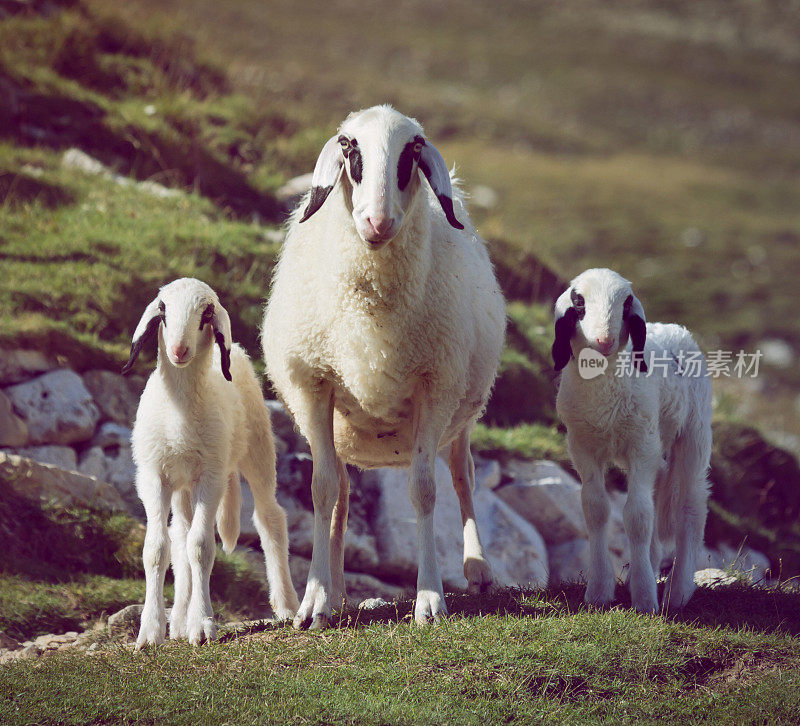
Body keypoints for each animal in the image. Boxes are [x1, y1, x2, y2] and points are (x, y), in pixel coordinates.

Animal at [123, 278, 298, 648]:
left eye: (206, 314)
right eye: (162, 310)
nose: (177, 350)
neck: (179, 410)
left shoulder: (211, 476)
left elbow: (202, 547)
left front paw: (202, 625)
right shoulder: (153, 476)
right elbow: (156, 549)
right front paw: (150, 633)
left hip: (257, 451)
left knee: (270, 518)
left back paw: (287, 605)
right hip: (182, 486)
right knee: (180, 536)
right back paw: (178, 620)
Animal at [264, 105, 506, 628]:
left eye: (412, 150)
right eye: (349, 146)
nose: (376, 221)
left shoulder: (435, 387)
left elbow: (425, 489)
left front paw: (430, 598)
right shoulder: (313, 386)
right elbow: (322, 489)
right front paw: (314, 600)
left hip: (463, 409)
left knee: (463, 476)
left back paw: (478, 569)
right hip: (339, 425)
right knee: (342, 492)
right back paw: (335, 593)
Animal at [552, 268, 712, 616]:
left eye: (626, 304)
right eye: (579, 302)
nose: (604, 341)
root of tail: (674, 328)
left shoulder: (642, 446)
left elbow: (637, 517)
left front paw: (644, 599)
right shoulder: (583, 446)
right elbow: (596, 509)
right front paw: (599, 591)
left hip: (692, 435)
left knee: (690, 506)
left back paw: (678, 591)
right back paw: (651, 568)